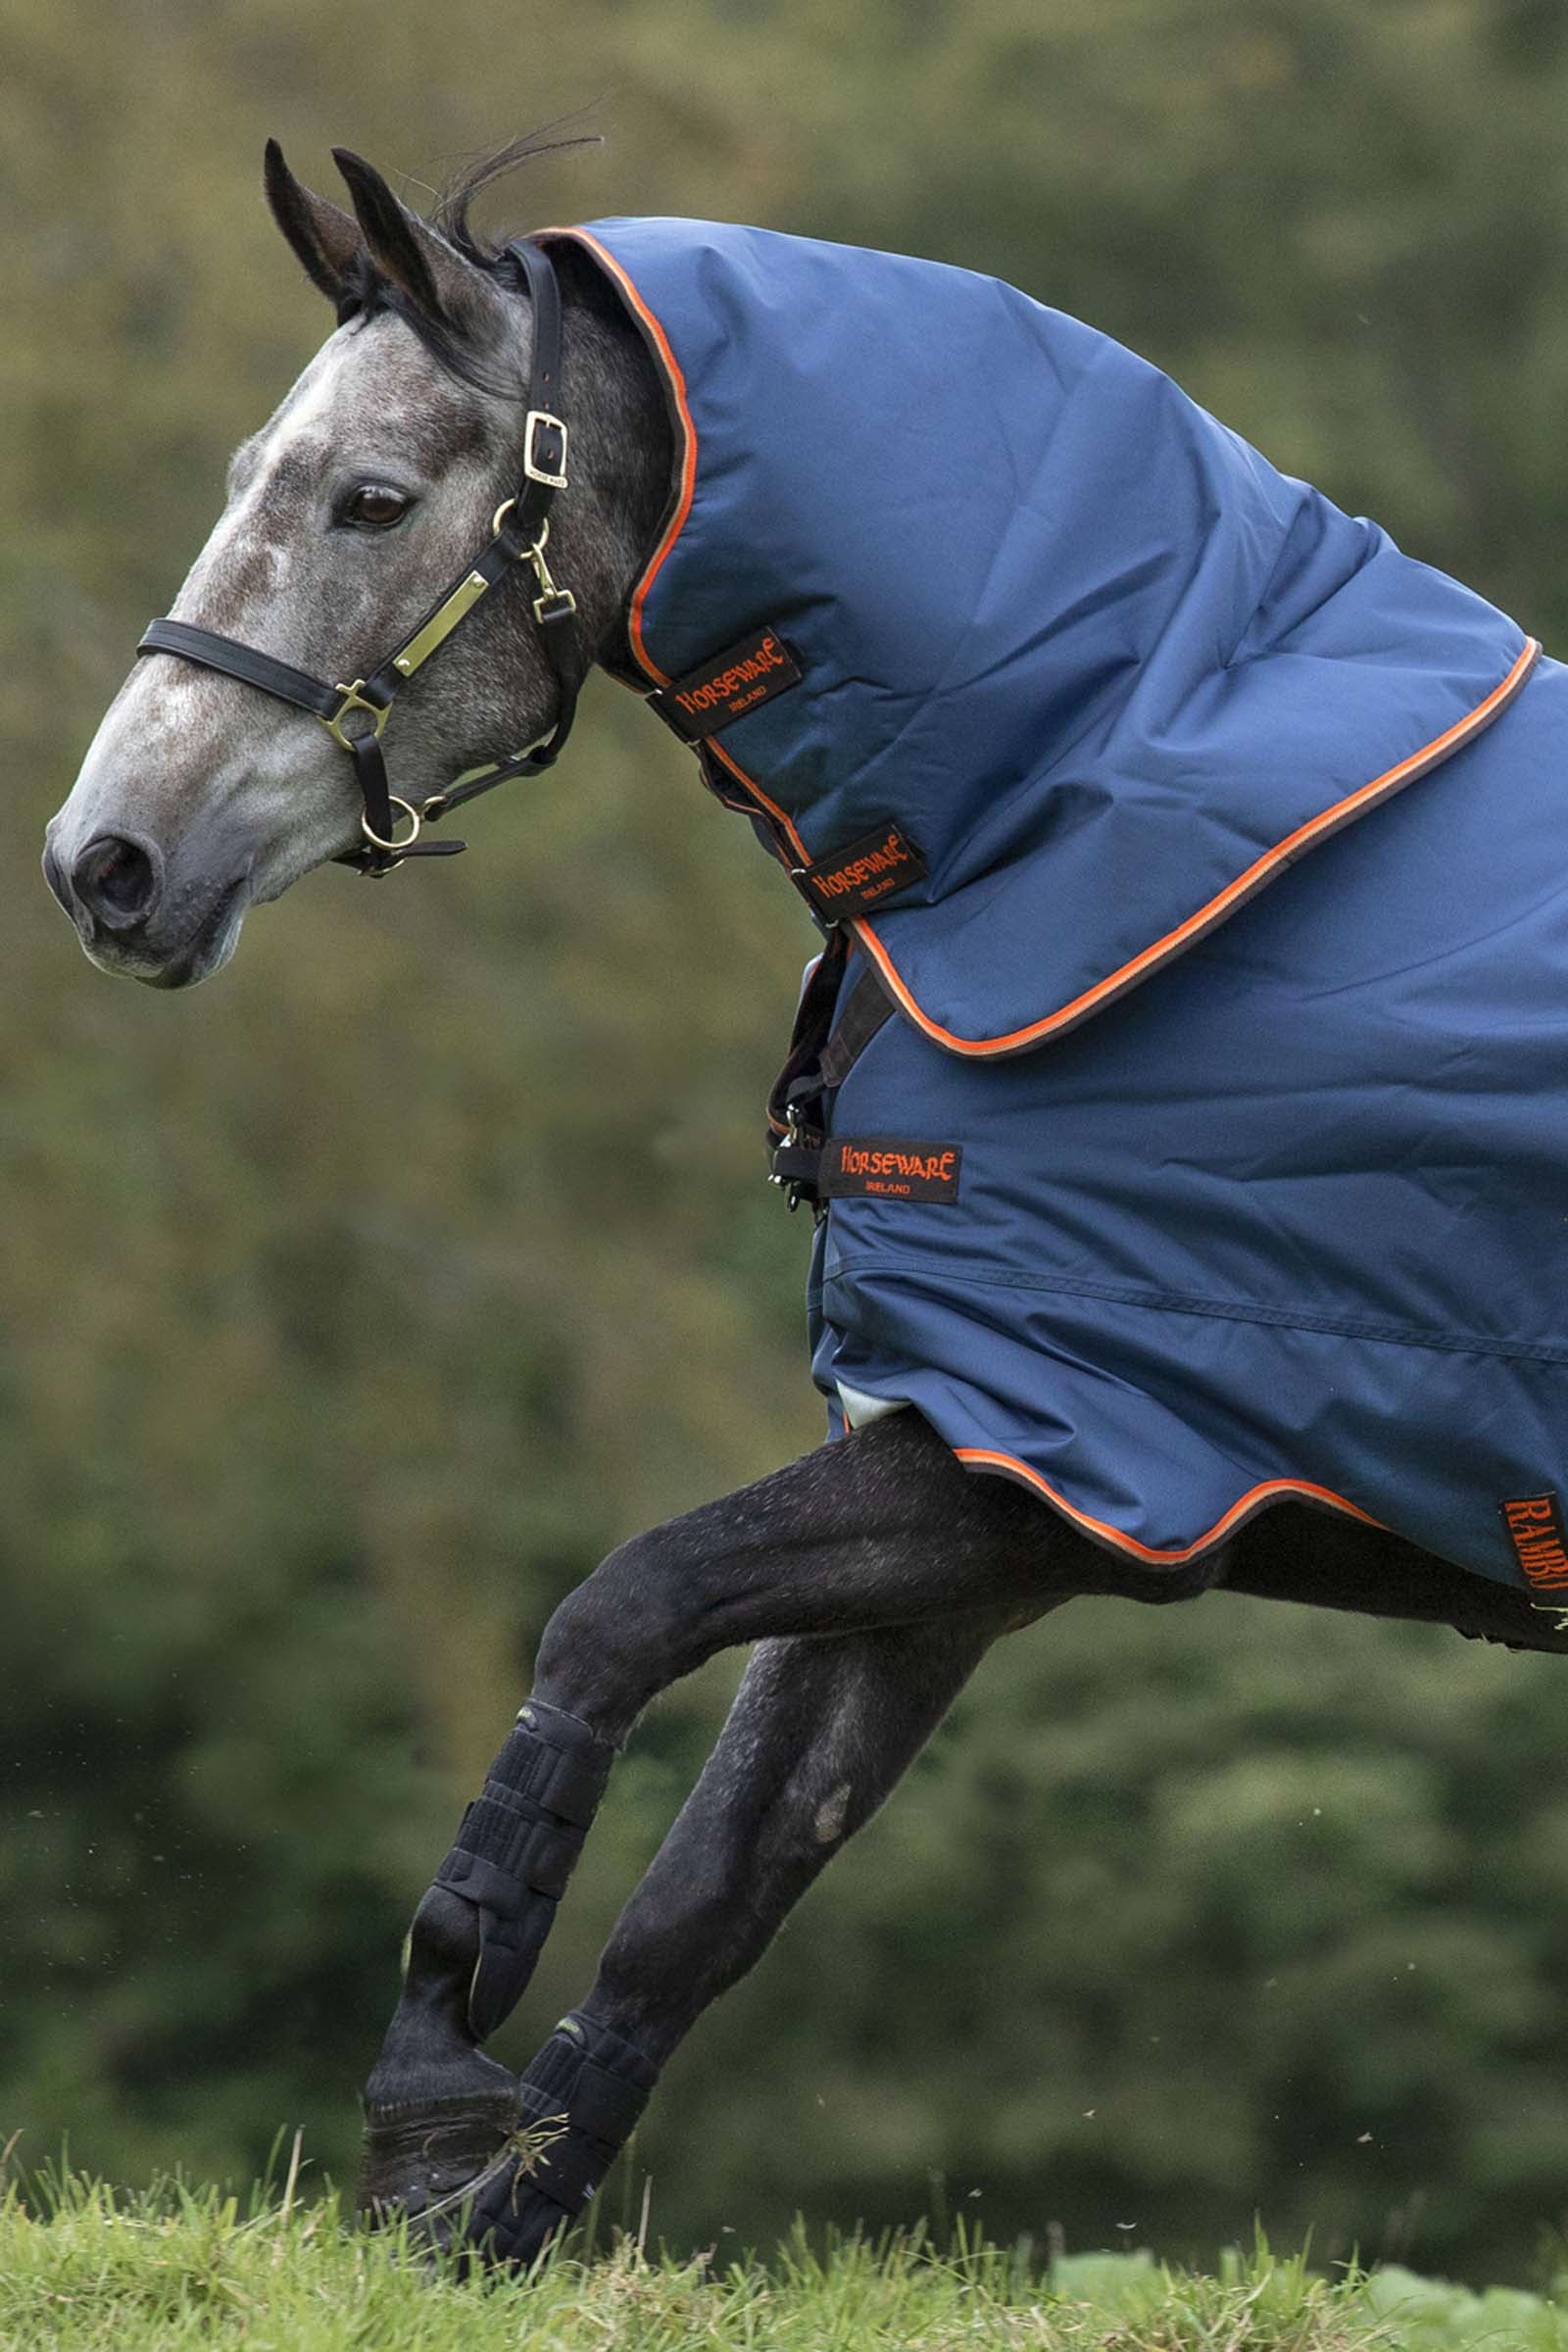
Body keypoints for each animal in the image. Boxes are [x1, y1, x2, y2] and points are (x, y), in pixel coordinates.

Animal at [43, 139, 1568, 2268]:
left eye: (369, 497)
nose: (106, 862)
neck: (1079, 840)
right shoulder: (979, 1511)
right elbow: (700, 1907)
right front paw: (474, 2199)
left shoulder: (1052, 1454)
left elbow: (618, 1610)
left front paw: (447, 2022)